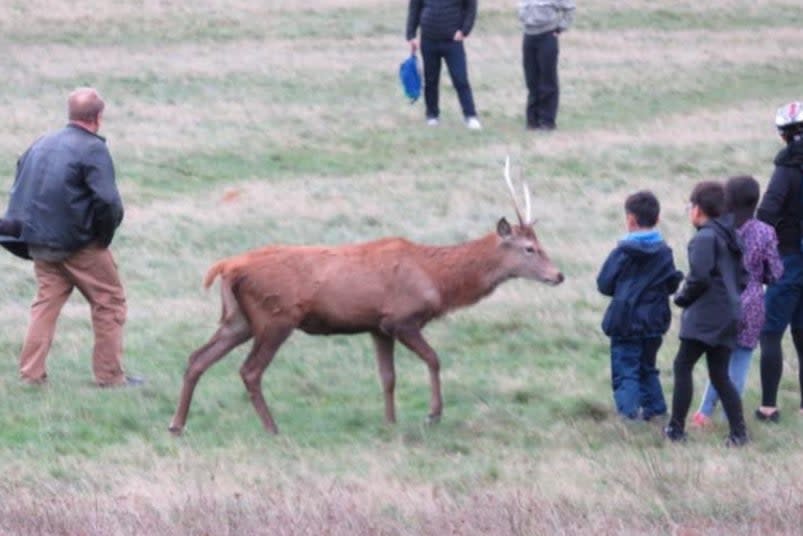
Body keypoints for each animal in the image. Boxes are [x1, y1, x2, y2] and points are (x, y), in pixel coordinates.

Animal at [166, 157, 564, 434]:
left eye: (541, 244)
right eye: (529, 248)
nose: (558, 275)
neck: (436, 279)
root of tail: (226, 266)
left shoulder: (377, 325)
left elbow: (387, 377)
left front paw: (390, 421)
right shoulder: (402, 318)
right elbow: (434, 359)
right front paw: (433, 414)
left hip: (238, 319)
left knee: (196, 358)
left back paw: (177, 424)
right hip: (275, 316)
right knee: (249, 370)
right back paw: (271, 427)